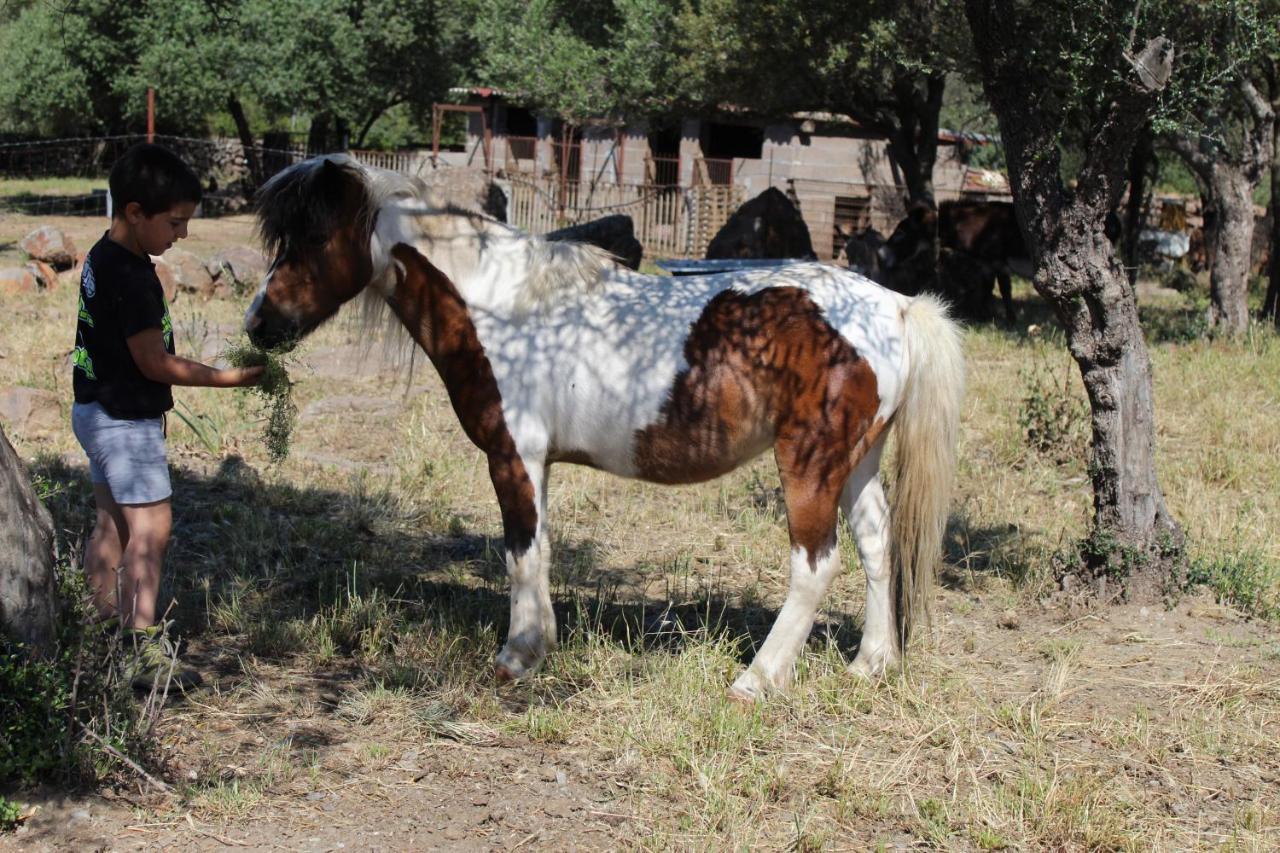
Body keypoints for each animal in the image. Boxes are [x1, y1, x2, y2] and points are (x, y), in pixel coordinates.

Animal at [241, 156, 962, 701]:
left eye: (310, 239)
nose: (258, 324)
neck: (501, 306)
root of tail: (896, 307)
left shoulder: (514, 456)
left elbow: (521, 552)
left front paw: (517, 657)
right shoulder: (536, 464)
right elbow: (539, 550)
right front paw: (537, 646)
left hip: (809, 462)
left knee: (815, 564)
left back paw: (756, 680)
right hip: (856, 460)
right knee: (876, 545)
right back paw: (872, 663)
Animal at [880, 199, 1029, 322]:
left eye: (901, 233)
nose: (881, 254)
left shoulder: (998, 262)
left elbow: (1004, 290)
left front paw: (1010, 321)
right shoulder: (987, 264)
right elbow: (987, 289)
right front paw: (985, 317)